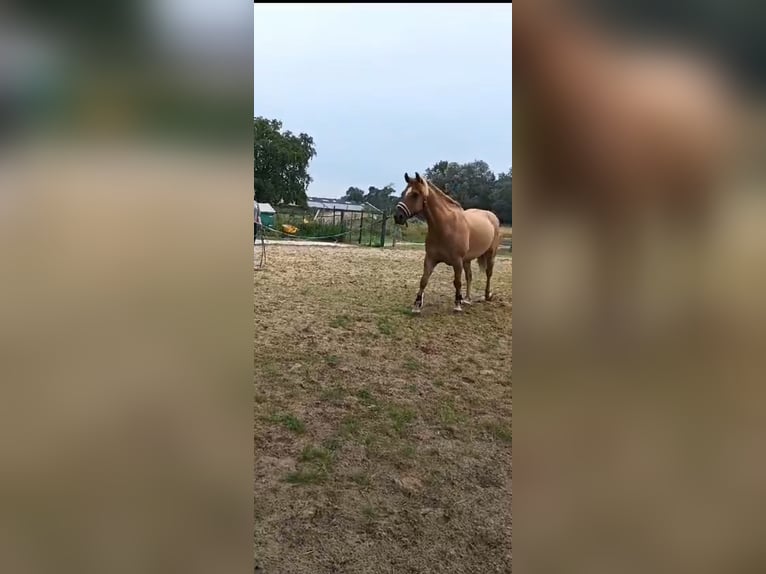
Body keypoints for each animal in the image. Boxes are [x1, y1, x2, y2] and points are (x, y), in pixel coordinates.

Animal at [396, 172, 504, 316]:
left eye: (415, 194)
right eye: (403, 192)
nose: (398, 216)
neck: (445, 226)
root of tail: (492, 216)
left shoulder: (457, 261)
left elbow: (457, 282)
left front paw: (457, 305)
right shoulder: (430, 259)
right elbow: (423, 280)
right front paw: (417, 306)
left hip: (490, 254)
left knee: (488, 273)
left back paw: (486, 296)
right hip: (467, 260)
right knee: (469, 276)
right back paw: (467, 299)